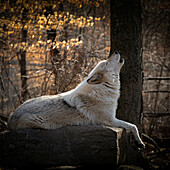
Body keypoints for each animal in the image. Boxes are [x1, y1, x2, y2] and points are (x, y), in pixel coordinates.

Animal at [7, 51, 145, 147]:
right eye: (106, 62)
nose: (115, 51)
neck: (102, 89)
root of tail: (10, 118)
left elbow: (132, 125)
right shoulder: (109, 120)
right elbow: (133, 126)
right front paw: (140, 143)